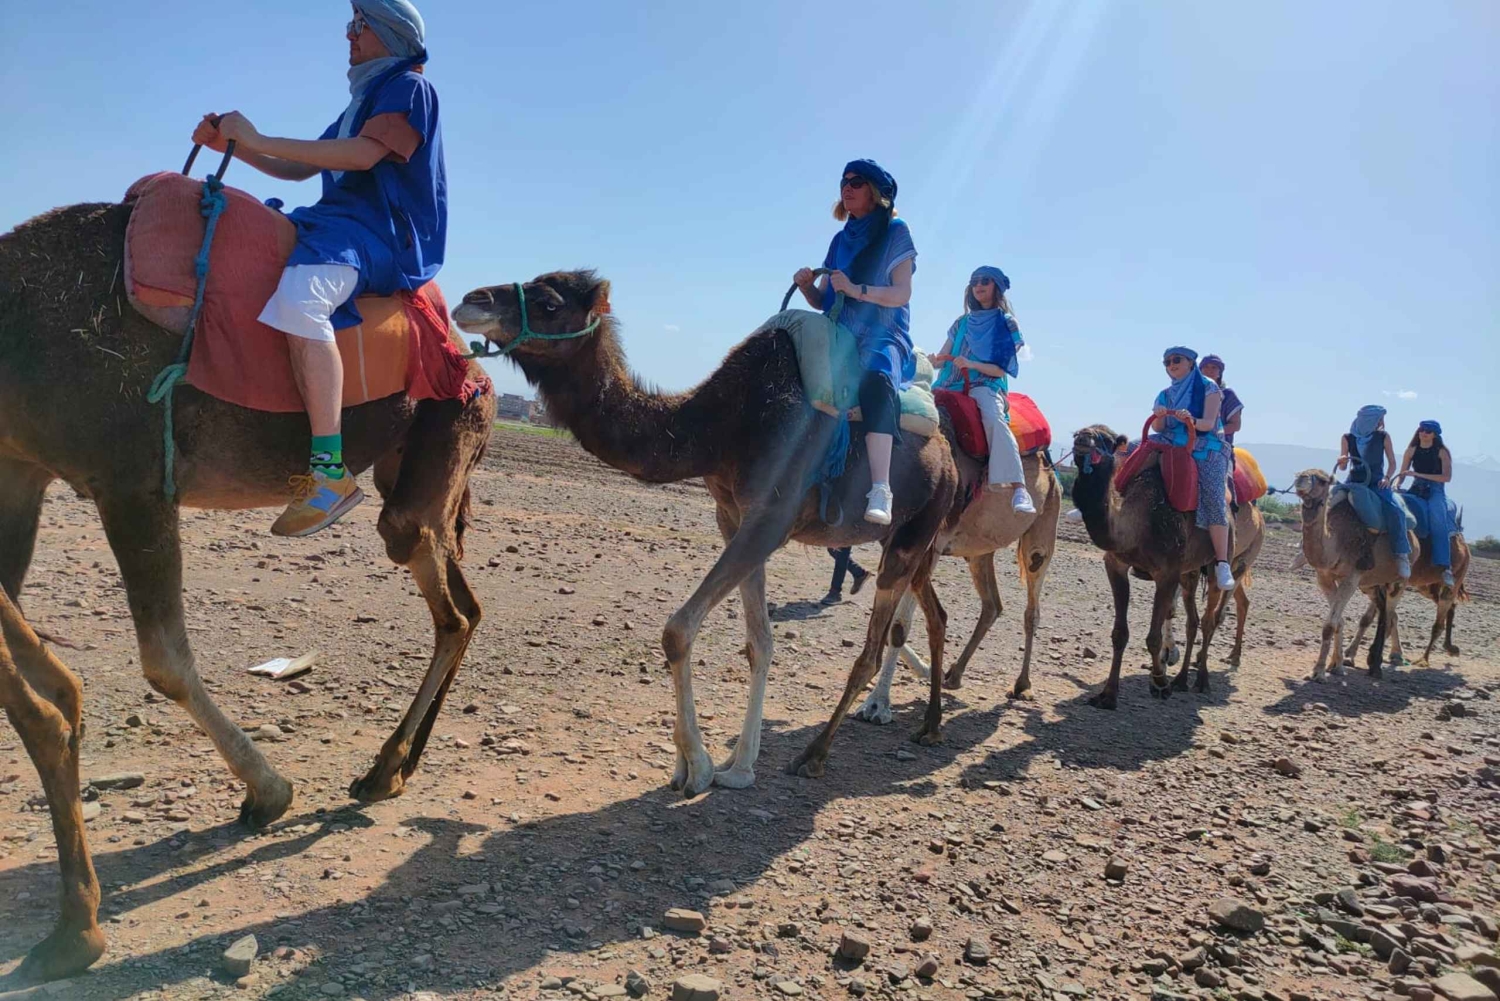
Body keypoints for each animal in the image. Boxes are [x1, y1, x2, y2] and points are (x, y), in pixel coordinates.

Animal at [0, 201, 497, 982]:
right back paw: (392, 770)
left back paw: (381, 770)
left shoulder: (132, 480)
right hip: (419, 477)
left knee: (451, 606)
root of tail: (475, 361)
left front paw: (268, 795)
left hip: (429, 464)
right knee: (463, 609)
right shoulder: (19, 467)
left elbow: (164, 661)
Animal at [454, 270, 964, 793]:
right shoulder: (734, 517)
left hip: (915, 531)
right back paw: (927, 721)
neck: (722, 426)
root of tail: (947, 454)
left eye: (551, 303)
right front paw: (738, 766)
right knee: (926, 617)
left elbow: (678, 631)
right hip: (904, 539)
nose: (471, 300)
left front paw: (696, 766)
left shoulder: (771, 519)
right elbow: (760, 642)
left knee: (876, 643)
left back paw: (818, 753)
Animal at [855, 454, 1061, 724]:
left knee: (1032, 608)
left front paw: (877, 704)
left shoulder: (929, 542)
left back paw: (1022, 685)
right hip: (980, 549)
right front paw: (925, 669)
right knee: (992, 604)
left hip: (1044, 529)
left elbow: (899, 624)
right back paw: (954, 675)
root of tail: (1052, 474)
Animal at [1068, 425, 1248, 708]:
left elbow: (1153, 637)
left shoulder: (1167, 573)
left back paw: (1201, 681)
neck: (1139, 524)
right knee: (1192, 621)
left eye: (1106, 440)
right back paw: (1182, 679)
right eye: (1078, 434)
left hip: (1219, 557)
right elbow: (1120, 633)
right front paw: (1108, 694)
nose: (1083, 440)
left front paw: (1161, 684)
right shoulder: (1116, 566)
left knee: (1209, 619)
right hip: (1189, 573)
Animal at [1291, 468, 1420, 681]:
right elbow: (1338, 621)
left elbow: (1329, 624)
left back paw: (1378, 666)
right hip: (1371, 584)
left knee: (1389, 614)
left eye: (1323, 480)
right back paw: (1366, 659)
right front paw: (1336, 665)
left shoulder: (1351, 577)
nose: (1301, 480)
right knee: (1383, 612)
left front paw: (1318, 671)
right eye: (1300, 473)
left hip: (1398, 581)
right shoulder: (1324, 577)